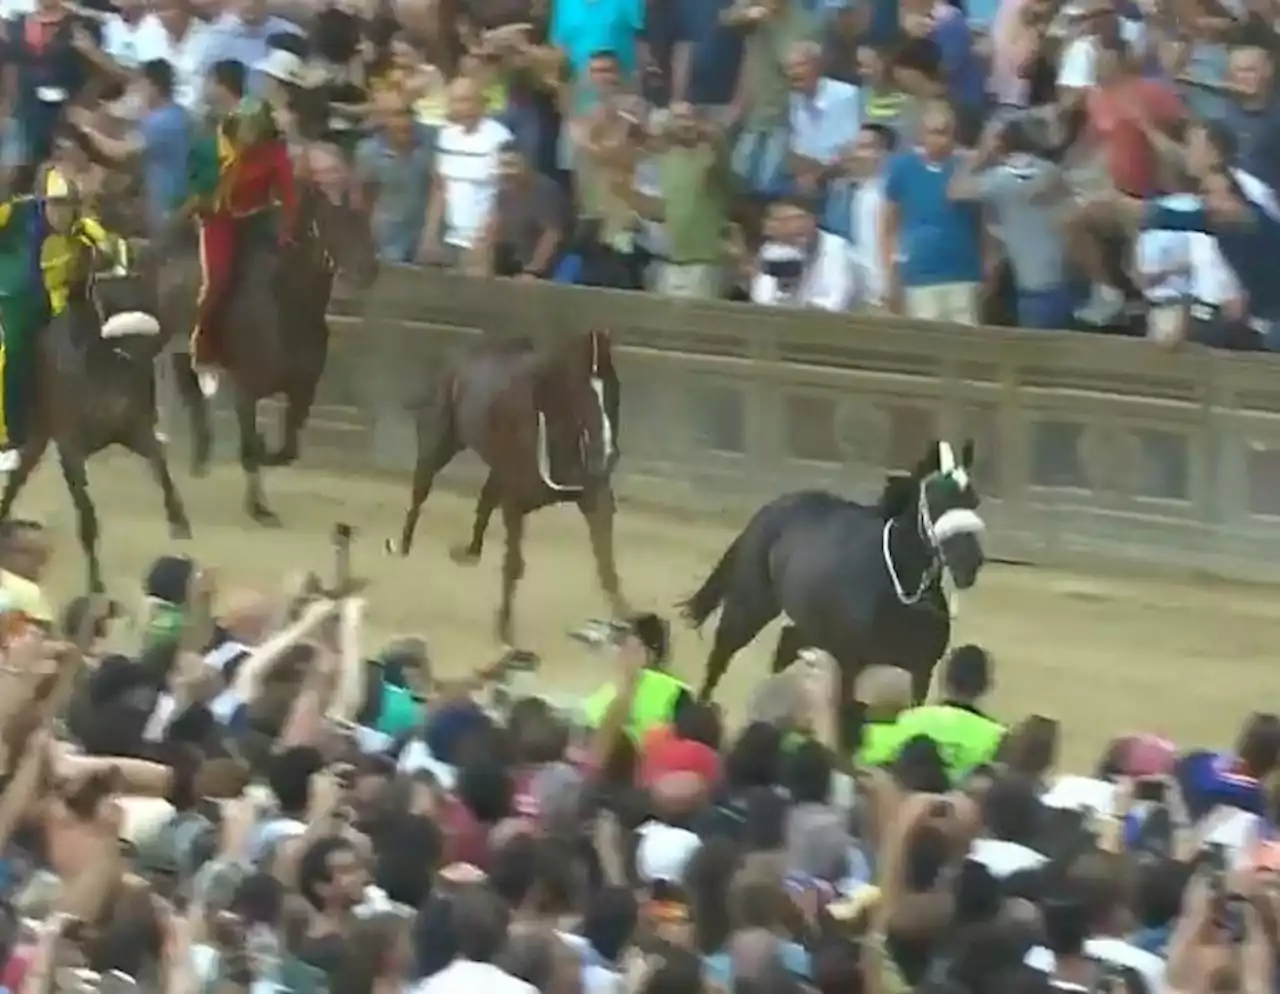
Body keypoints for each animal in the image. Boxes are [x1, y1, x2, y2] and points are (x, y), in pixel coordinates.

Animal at [0, 234, 192, 588]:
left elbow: (160, 464)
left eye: (143, 277)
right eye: (104, 282)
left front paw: (178, 519)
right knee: (19, 476)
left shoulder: (132, 428)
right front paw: (95, 584)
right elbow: (87, 516)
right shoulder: (70, 448)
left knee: (18, 476)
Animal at [389, 330, 629, 647]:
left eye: (615, 388)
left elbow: (607, 567)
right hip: (438, 442)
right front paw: (504, 629)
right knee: (421, 489)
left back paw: (469, 553)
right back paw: (404, 546)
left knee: (485, 500)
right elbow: (514, 564)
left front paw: (629, 621)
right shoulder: (515, 503)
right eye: (581, 392)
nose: (607, 456)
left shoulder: (594, 498)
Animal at [680, 437, 988, 747]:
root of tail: (773, 508)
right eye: (936, 503)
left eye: (974, 501)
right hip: (752, 604)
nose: (969, 563)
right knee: (721, 654)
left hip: (812, 625)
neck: (896, 591)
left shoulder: (920, 670)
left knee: (786, 643)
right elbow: (846, 725)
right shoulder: (850, 664)